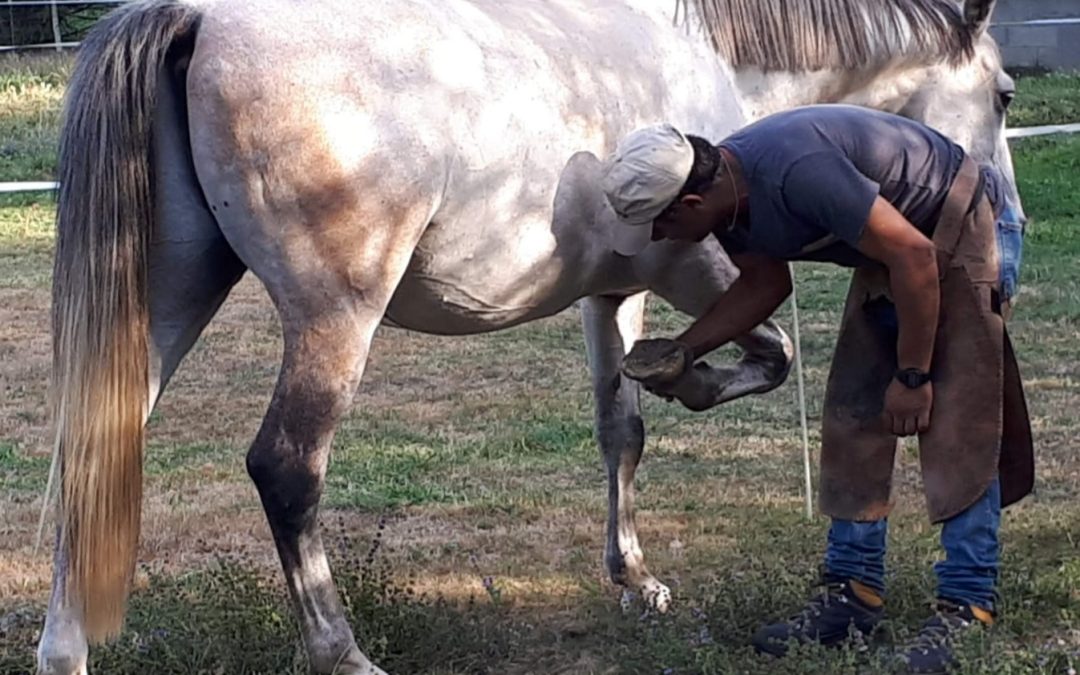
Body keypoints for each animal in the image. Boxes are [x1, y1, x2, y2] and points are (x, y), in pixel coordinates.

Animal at [38, 0, 1019, 673]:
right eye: (1005, 94)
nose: (1005, 234)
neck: (715, 57)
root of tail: (195, 18)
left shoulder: (612, 292)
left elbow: (622, 427)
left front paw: (636, 579)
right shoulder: (698, 268)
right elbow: (768, 352)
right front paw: (692, 380)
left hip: (170, 301)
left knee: (94, 452)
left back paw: (66, 651)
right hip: (333, 320)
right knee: (286, 467)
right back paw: (342, 651)